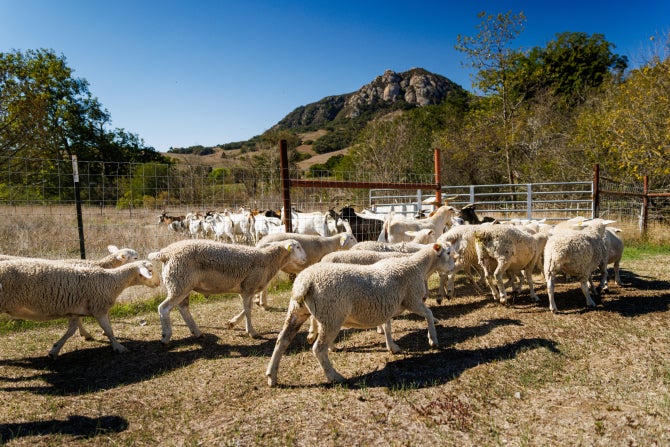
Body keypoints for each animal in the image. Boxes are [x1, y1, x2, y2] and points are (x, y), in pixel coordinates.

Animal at [0, 259, 159, 357]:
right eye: (150, 270)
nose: (158, 283)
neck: (112, 281)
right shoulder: (99, 308)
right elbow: (109, 330)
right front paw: (119, 347)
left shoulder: (74, 310)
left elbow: (71, 330)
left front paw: (55, 350)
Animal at [147, 238, 307, 343]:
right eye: (298, 247)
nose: (305, 259)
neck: (268, 260)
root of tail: (166, 253)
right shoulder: (249, 286)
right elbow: (248, 310)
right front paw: (252, 332)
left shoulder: (245, 289)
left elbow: (247, 308)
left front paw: (232, 323)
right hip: (178, 283)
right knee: (163, 308)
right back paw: (166, 336)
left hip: (182, 284)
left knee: (183, 308)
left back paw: (197, 332)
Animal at [266, 243, 453, 385]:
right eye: (448, 253)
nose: (453, 267)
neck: (416, 266)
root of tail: (304, 282)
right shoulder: (412, 299)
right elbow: (428, 313)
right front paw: (433, 339)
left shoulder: (387, 304)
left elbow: (388, 326)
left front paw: (392, 346)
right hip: (331, 315)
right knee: (318, 349)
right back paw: (334, 376)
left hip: (298, 311)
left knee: (282, 340)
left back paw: (271, 376)